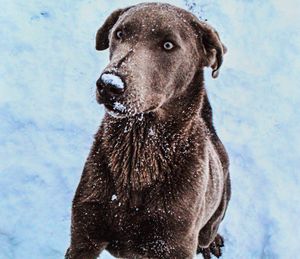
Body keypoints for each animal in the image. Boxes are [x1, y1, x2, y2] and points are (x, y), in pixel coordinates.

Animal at [65, 2, 230, 259]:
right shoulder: (83, 237)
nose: (109, 85)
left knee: (209, 231)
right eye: (119, 33)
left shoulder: (174, 244)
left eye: (168, 45)